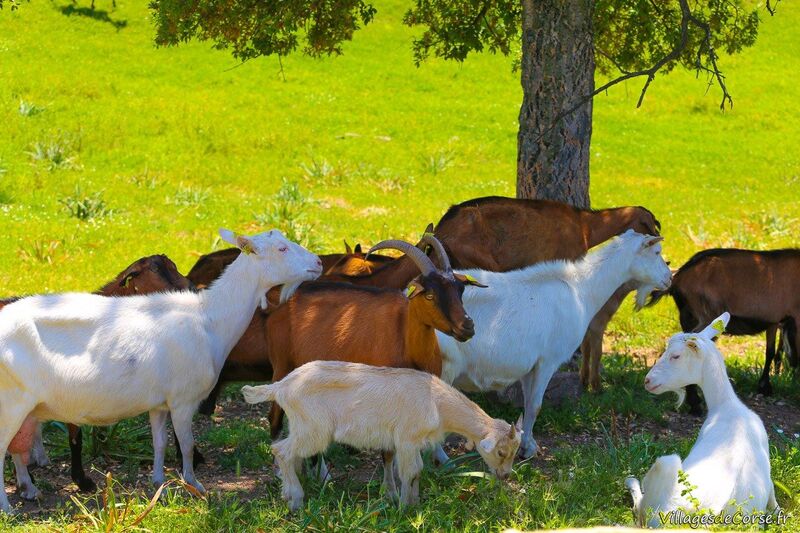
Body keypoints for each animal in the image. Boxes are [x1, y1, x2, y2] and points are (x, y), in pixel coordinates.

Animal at [0, 230, 320, 512]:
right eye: (282, 248)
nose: (317, 263)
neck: (209, 318)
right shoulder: (183, 400)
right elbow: (187, 445)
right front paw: (195, 486)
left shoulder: (159, 403)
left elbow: (160, 443)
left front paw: (158, 485)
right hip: (11, 404)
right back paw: (8, 508)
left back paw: (28, 490)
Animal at [241, 362, 520, 512]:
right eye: (501, 451)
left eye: (514, 452)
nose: (506, 476)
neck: (437, 402)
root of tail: (281, 386)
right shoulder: (406, 439)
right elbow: (410, 471)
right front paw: (406, 507)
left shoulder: (413, 442)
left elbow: (417, 470)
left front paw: (414, 502)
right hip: (314, 431)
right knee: (282, 450)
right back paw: (296, 500)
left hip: (300, 426)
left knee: (287, 453)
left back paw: (289, 493)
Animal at [434, 229, 672, 458]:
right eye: (657, 252)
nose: (669, 279)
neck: (581, 290)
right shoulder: (548, 361)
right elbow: (536, 405)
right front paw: (529, 449)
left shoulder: (529, 365)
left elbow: (528, 403)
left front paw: (526, 443)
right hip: (445, 365)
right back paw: (442, 460)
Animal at [628, 314, 780, 524]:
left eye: (676, 356)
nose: (647, 381)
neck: (727, 405)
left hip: (665, 466)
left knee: (640, 504)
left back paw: (630, 480)